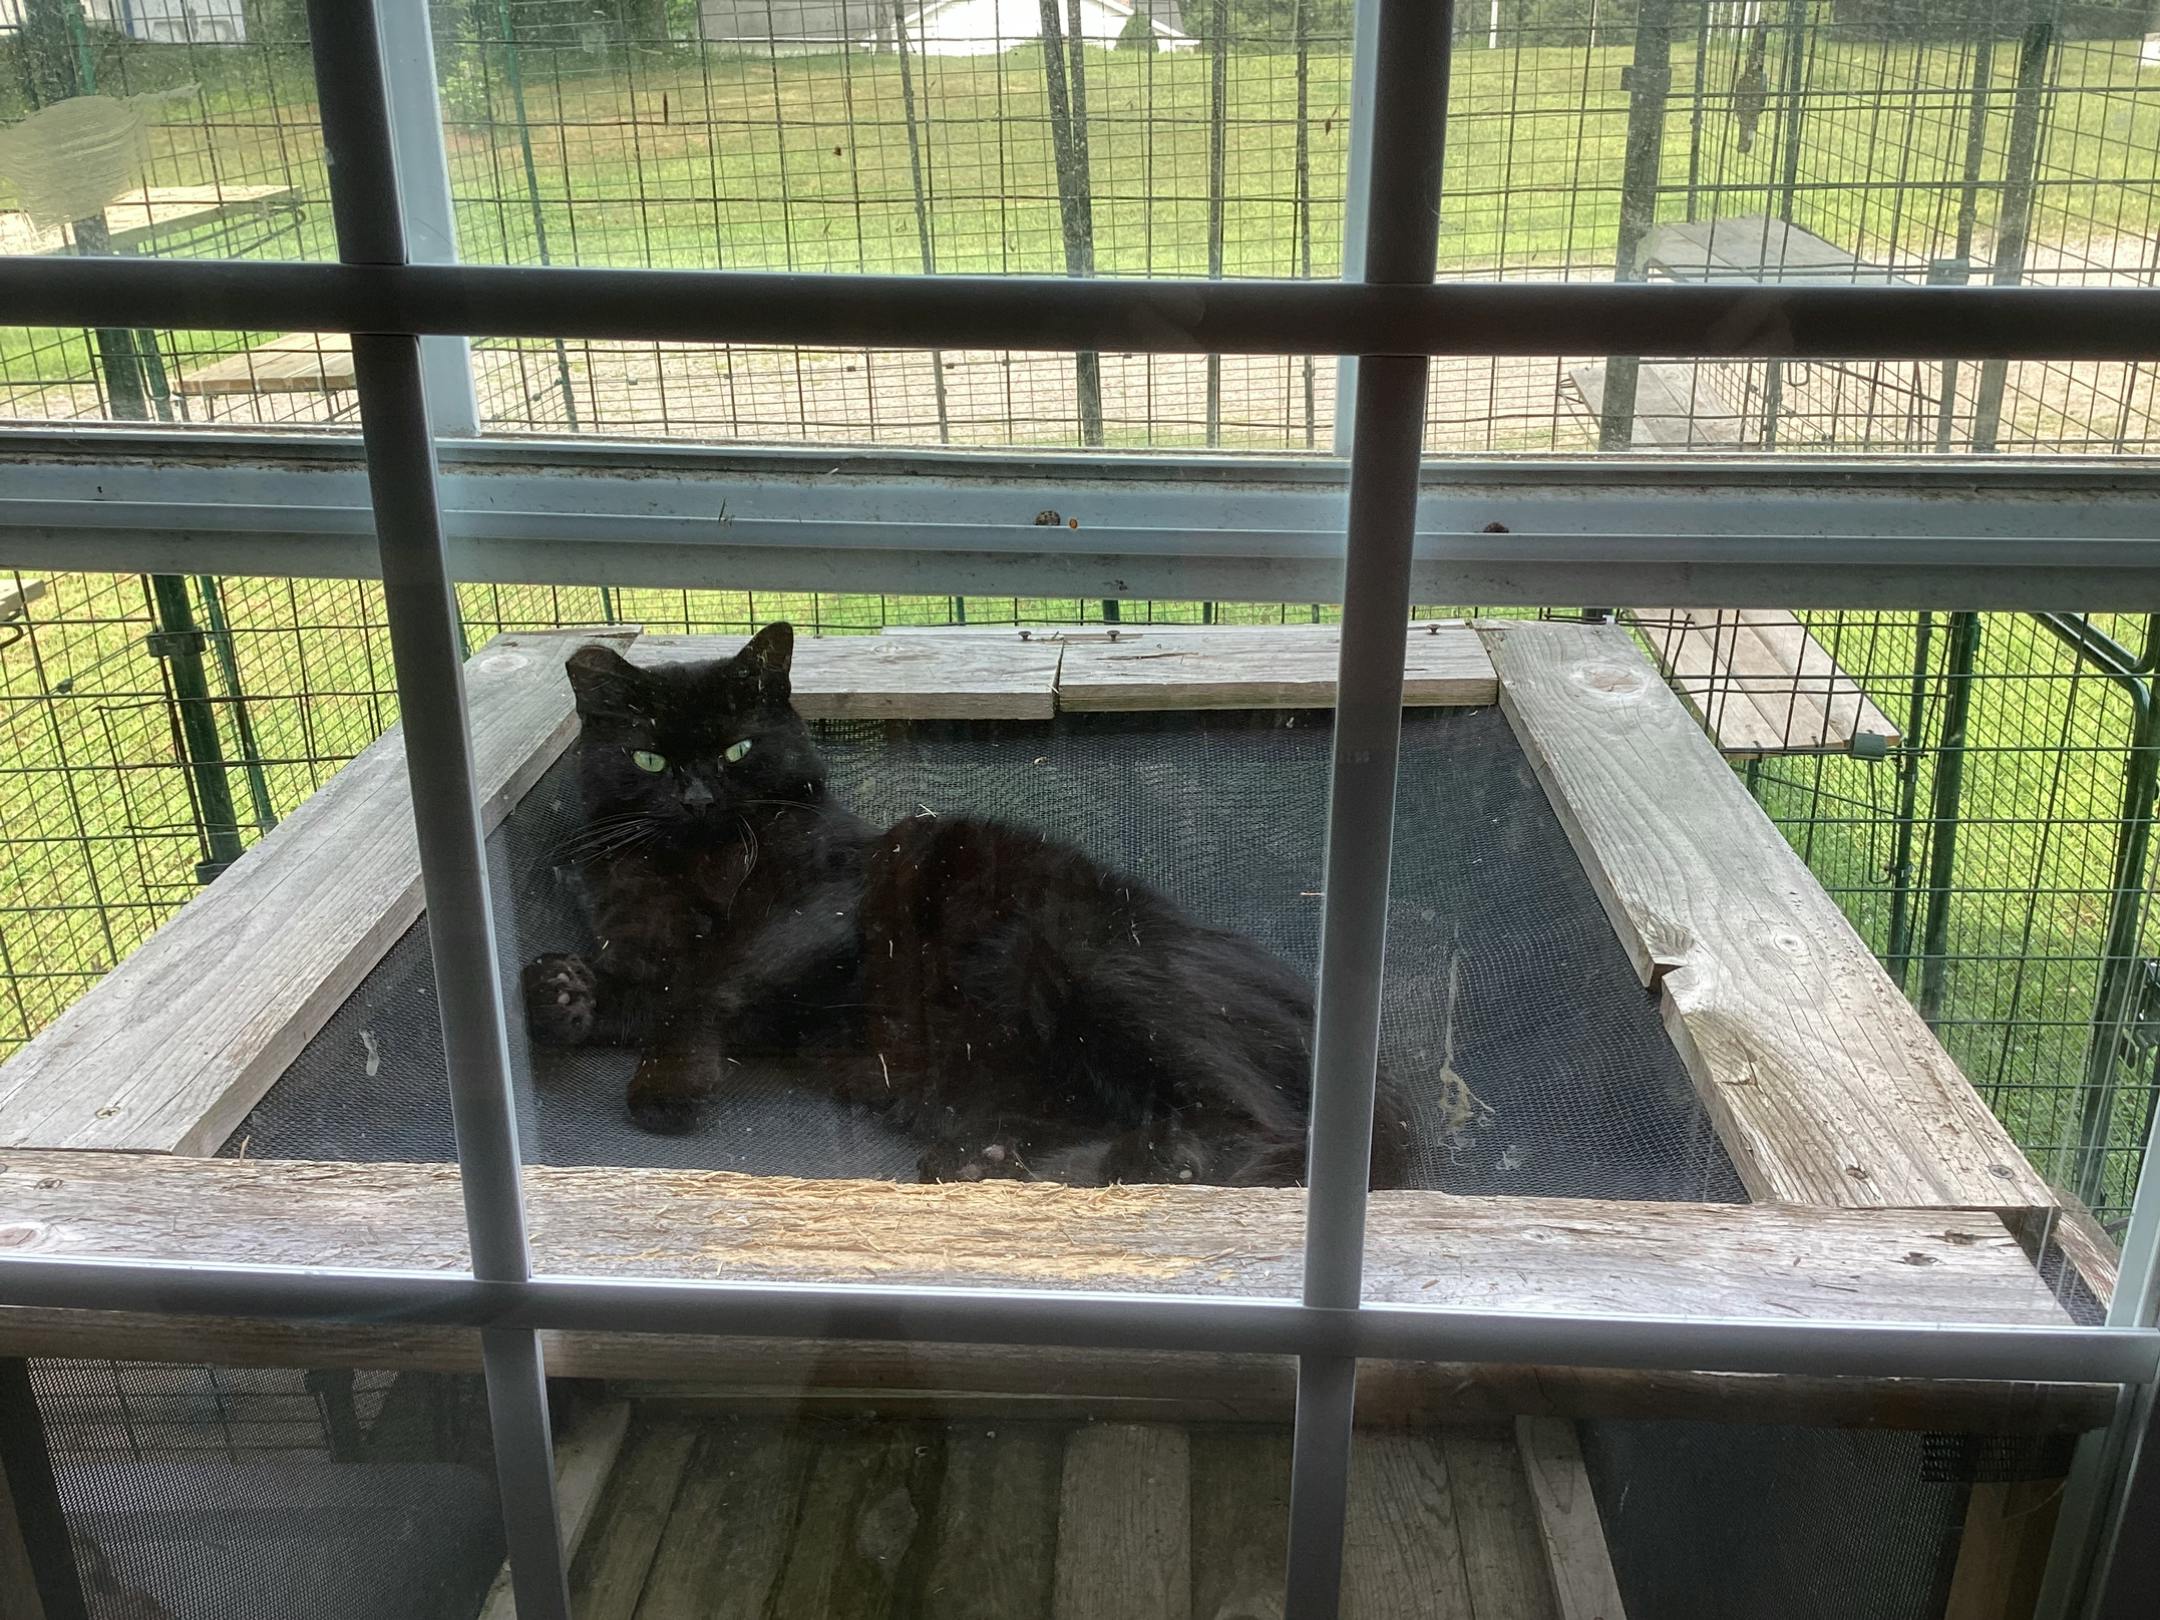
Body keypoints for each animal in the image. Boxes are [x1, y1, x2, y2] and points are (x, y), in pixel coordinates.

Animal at [523, 624, 1415, 1189]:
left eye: (737, 749)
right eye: (649, 758)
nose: (699, 798)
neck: (701, 865)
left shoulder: (828, 895)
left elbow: (718, 974)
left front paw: (666, 1082)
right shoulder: (650, 950)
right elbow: (651, 988)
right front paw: (558, 994)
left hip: (1108, 970)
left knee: (1262, 1139)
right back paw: (989, 1161)